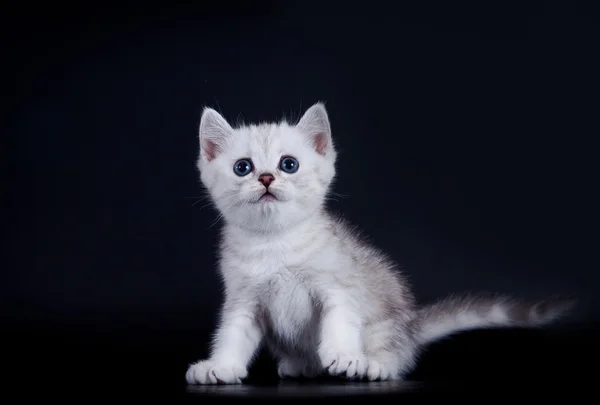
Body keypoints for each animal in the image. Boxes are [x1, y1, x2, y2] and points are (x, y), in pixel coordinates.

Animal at [185, 102, 576, 384]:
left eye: (289, 164)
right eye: (243, 167)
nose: (266, 178)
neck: (275, 245)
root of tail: (411, 327)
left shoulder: (339, 284)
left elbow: (340, 320)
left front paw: (344, 354)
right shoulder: (243, 298)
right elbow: (233, 333)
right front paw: (221, 365)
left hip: (386, 323)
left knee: (396, 354)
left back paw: (374, 364)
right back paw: (300, 365)